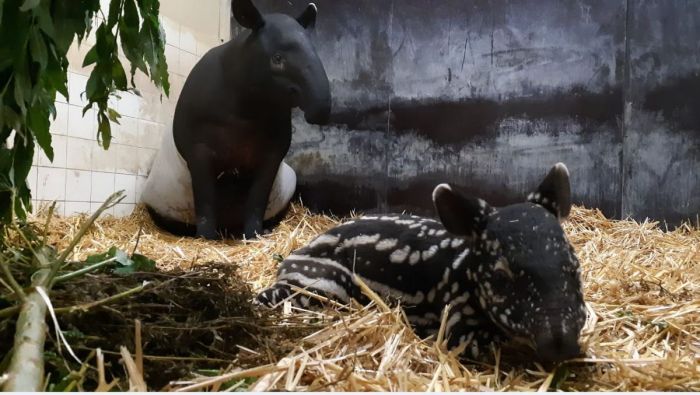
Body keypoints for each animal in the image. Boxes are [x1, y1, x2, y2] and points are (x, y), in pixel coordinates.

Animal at [142, 0, 330, 240]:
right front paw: (206, 237)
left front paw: (254, 234)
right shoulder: (197, 148)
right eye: (277, 59)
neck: (246, 110)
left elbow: (258, 198)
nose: (321, 110)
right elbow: (205, 199)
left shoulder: (273, 152)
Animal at [258, 164, 584, 366]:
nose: (562, 343)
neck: (464, 267)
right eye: (501, 276)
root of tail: (291, 257)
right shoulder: (457, 322)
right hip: (321, 281)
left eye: (575, 266)